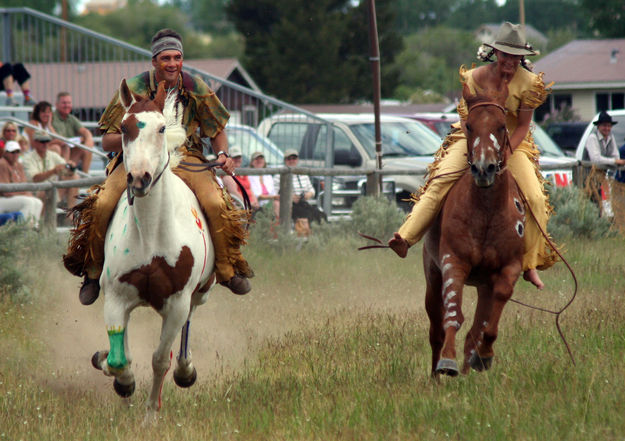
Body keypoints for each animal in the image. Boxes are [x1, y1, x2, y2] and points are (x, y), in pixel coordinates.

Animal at [422, 82, 524, 374]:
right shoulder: (452, 261)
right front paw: (447, 360)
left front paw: (485, 354)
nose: (483, 168)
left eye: (501, 125)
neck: (486, 214)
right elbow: (453, 315)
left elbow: (489, 320)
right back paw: (437, 373)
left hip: (482, 286)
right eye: (469, 126)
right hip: (432, 275)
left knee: (473, 333)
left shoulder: (509, 267)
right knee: (436, 330)